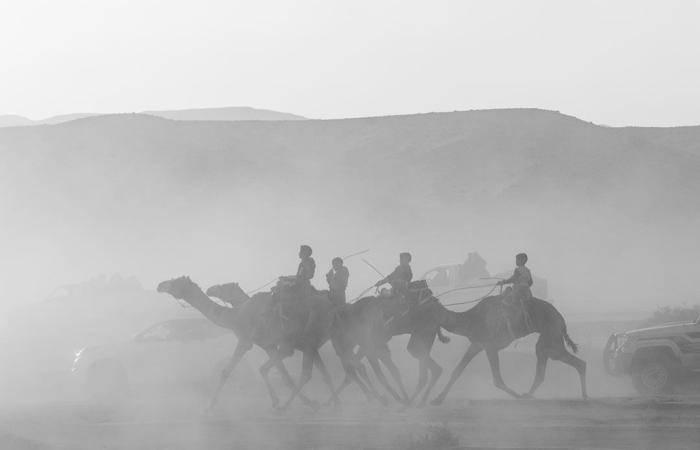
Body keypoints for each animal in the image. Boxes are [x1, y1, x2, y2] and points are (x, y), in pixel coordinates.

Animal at [156, 276, 374, 410]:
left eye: (175, 282)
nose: (160, 285)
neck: (236, 316)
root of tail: (335, 308)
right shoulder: (269, 345)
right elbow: (281, 373)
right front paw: (293, 402)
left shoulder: (247, 340)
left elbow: (228, 371)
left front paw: (209, 406)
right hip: (324, 341)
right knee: (342, 369)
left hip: (321, 338)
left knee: (331, 369)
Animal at [432, 292, 584, 404]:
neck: (470, 319)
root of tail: (561, 319)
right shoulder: (477, 344)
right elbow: (457, 371)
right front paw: (438, 399)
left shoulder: (490, 346)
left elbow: (497, 380)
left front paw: (517, 396)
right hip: (550, 338)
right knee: (550, 362)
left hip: (552, 333)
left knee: (561, 357)